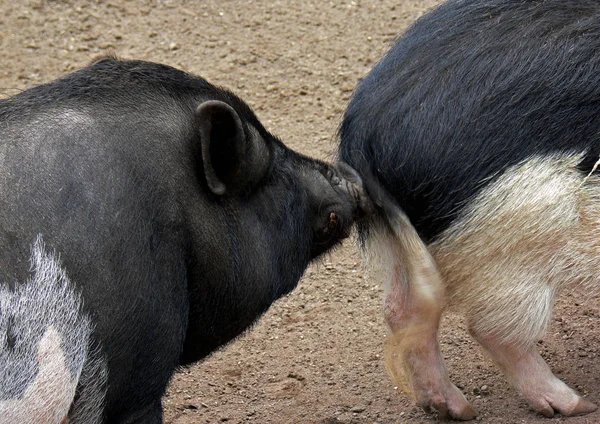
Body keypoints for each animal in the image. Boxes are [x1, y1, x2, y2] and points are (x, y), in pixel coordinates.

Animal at [340, 0, 600, 420]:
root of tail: (364, 136)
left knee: (400, 308)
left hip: (399, 240)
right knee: (492, 329)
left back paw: (449, 408)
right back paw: (574, 404)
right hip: (522, 244)